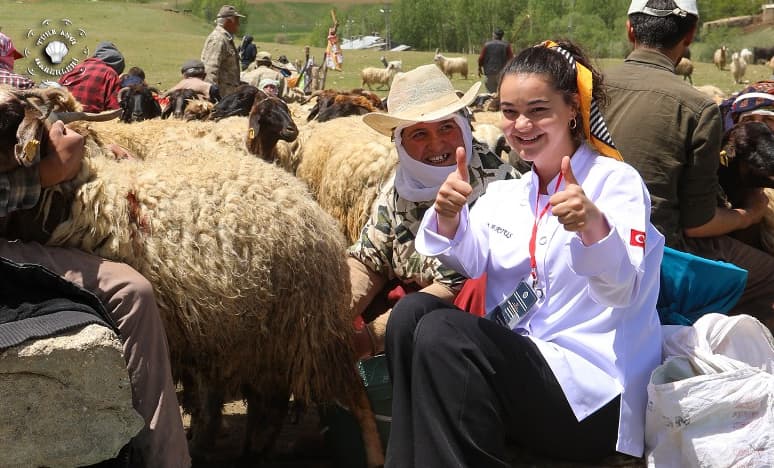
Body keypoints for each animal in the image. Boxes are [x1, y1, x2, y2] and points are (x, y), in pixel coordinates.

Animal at [0, 88, 388, 468]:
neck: (82, 196)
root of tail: (313, 211)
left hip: (290, 328)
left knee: (307, 399)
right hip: (242, 333)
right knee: (260, 401)